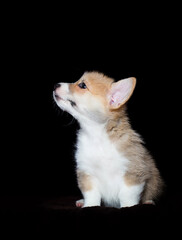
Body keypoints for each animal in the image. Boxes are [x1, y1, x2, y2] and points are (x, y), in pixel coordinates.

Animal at [53, 71, 164, 208]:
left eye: (82, 85)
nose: (55, 85)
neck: (97, 135)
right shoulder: (86, 172)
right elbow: (91, 194)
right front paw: (89, 205)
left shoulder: (132, 172)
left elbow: (127, 195)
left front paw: (128, 207)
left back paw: (148, 201)